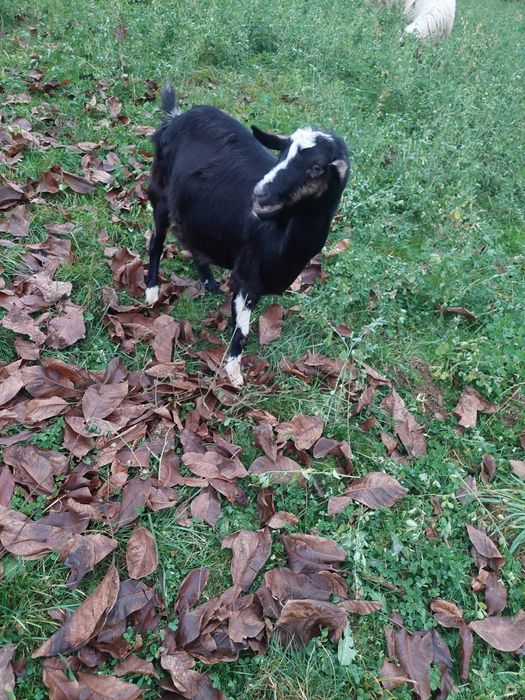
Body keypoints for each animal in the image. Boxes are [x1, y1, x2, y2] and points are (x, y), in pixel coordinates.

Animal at [146, 85, 349, 387]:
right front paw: (233, 374)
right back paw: (151, 290)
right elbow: (241, 331)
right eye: (282, 154)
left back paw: (209, 282)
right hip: (160, 189)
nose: (261, 192)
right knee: (156, 241)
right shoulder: (247, 275)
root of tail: (176, 116)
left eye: (317, 167)